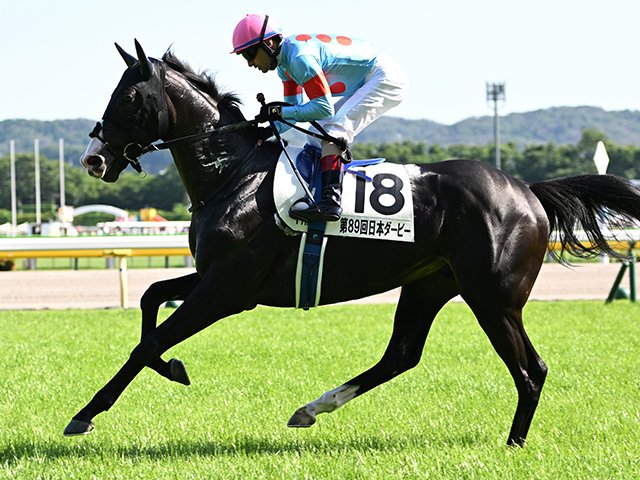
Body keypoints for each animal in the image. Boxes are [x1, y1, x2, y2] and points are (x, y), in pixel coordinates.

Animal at [66, 40, 640, 447]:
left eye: (129, 97)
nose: (93, 158)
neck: (234, 174)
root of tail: (527, 189)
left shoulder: (228, 290)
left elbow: (149, 342)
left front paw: (85, 414)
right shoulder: (215, 278)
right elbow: (149, 299)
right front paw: (173, 370)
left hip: (493, 296)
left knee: (529, 369)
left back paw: (514, 444)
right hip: (431, 284)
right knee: (402, 355)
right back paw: (311, 409)